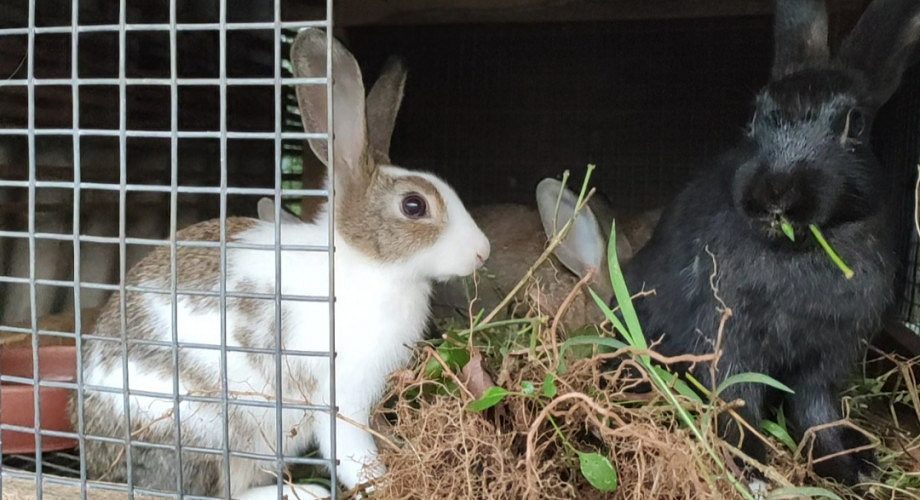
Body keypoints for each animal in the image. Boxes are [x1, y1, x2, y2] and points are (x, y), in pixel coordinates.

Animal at [74, 28, 490, 499]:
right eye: (414, 206)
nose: (482, 250)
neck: (366, 263)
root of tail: (100, 462)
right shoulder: (341, 393)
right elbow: (352, 453)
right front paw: (382, 482)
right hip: (208, 429)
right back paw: (303, 492)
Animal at [617, 0, 919, 485]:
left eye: (855, 124)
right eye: (755, 117)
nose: (775, 193)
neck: (799, 249)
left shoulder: (827, 358)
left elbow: (818, 411)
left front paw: (849, 467)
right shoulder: (729, 341)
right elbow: (738, 401)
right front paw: (750, 467)